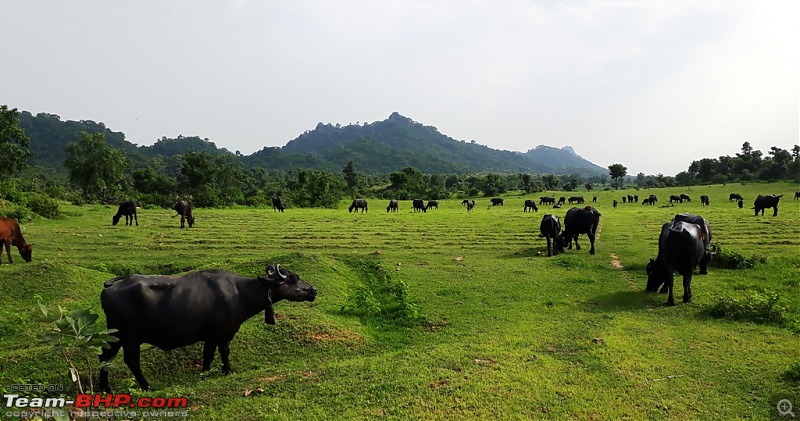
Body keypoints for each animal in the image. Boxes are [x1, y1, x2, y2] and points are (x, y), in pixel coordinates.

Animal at [97, 262, 316, 390]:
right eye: (295, 278)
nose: (313, 290)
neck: (239, 293)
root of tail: (111, 288)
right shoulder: (212, 334)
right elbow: (209, 355)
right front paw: (205, 374)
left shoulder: (226, 333)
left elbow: (225, 352)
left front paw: (228, 370)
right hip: (130, 337)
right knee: (131, 361)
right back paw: (147, 386)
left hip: (115, 336)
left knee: (104, 357)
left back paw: (105, 387)